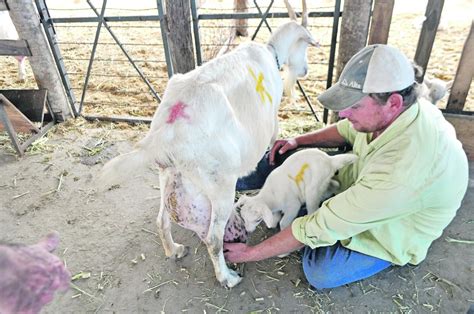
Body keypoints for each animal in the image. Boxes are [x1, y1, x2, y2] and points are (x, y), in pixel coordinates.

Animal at [98, 0, 316, 290]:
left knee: (161, 219)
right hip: (219, 182)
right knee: (213, 237)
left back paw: (174, 250)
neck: (271, 53)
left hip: (167, 172)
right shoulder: (271, 122)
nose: (304, 70)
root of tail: (167, 129)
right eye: (305, 44)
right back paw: (228, 277)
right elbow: (271, 144)